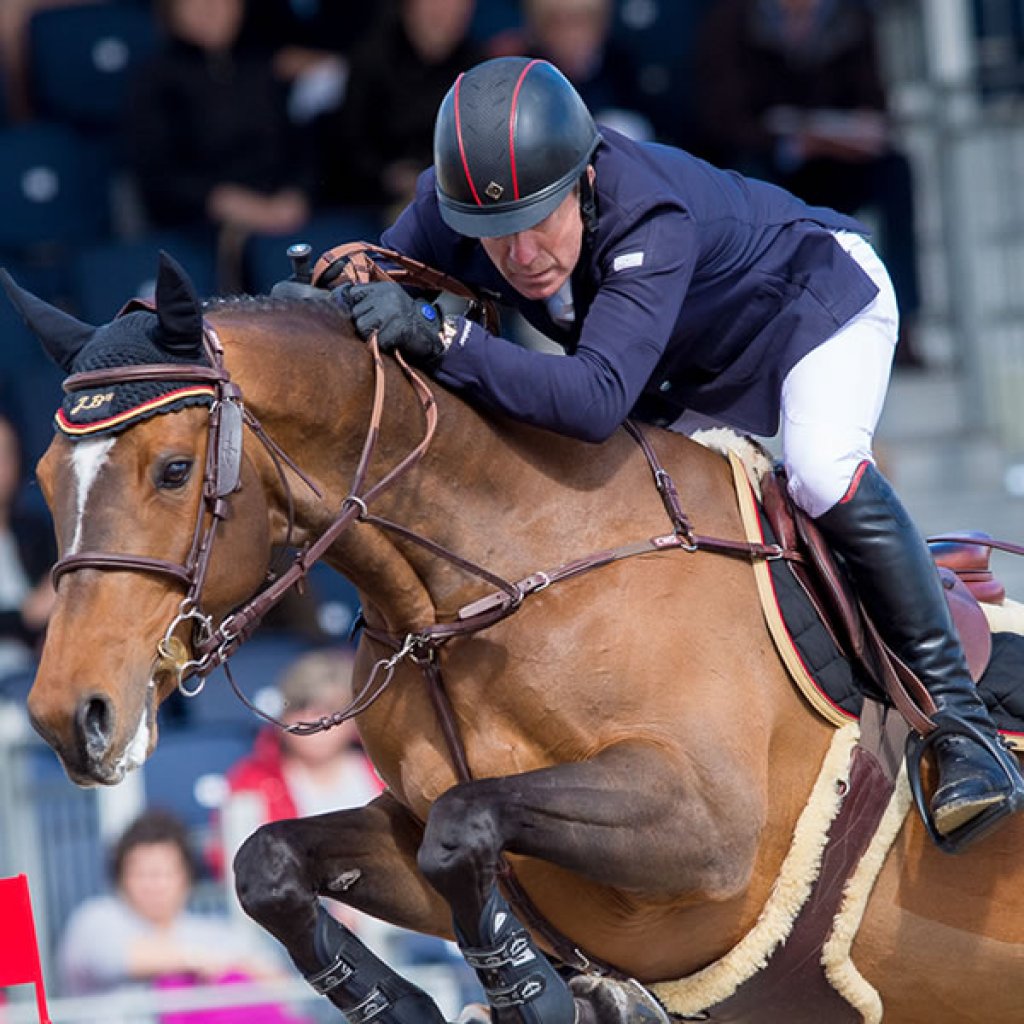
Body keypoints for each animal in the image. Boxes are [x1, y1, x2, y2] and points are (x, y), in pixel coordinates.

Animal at [6, 249, 1024, 1024]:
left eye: (175, 470)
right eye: (46, 478)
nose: (68, 716)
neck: (483, 593)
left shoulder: (709, 833)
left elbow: (466, 828)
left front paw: (539, 998)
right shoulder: (435, 835)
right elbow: (274, 861)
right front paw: (409, 1005)